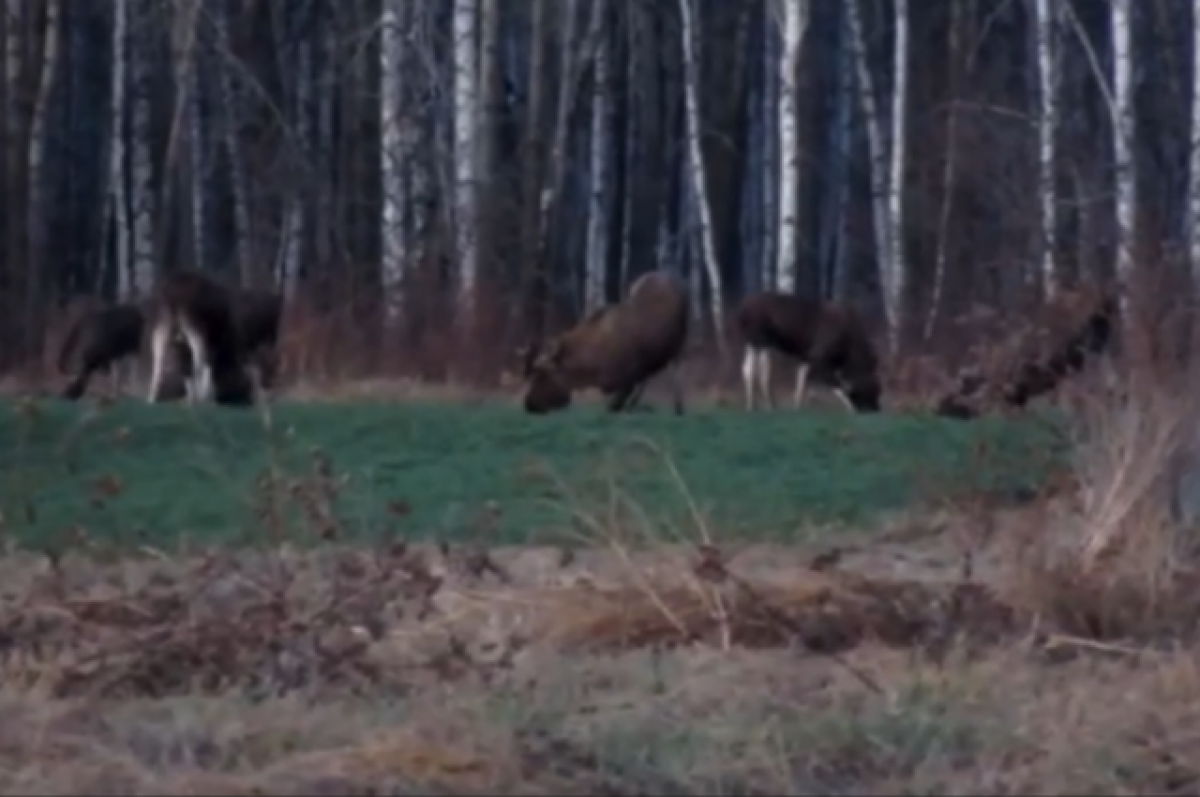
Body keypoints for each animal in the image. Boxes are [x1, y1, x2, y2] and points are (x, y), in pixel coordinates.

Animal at [523, 268, 691, 412]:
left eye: (542, 373)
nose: (529, 404)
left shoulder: (628, 379)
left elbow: (614, 405)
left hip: (679, 344)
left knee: (676, 371)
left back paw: (679, 408)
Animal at [729, 292, 883, 417]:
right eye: (873, 389)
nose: (876, 409)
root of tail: (740, 310)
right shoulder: (819, 358)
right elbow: (837, 386)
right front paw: (852, 409)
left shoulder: (806, 358)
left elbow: (801, 383)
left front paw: (796, 408)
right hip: (760, 340)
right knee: (760, 372)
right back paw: (765, 406)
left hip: (753, 342)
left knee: (747, 369)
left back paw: (755, 406)